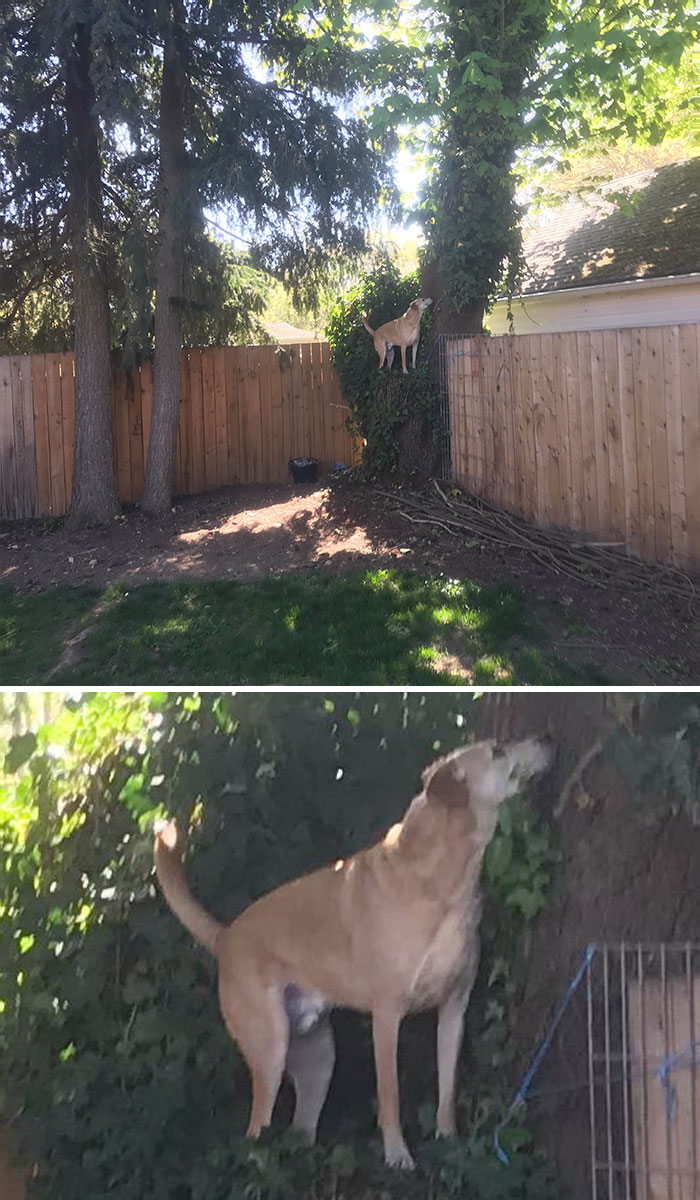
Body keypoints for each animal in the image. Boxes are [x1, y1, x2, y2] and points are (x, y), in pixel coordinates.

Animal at [153, 734, 552, 1166]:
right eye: (497, 751)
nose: (545, 740)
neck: (443, 884)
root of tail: (225, 937)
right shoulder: (388, 1013)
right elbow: (390, 1094)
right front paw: (397, 1155)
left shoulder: (454, 1006)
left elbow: (447, 1089)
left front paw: (449, 1142)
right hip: (270, 1049)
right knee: (255, 1130)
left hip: (317, 1059)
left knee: (300, 1129)